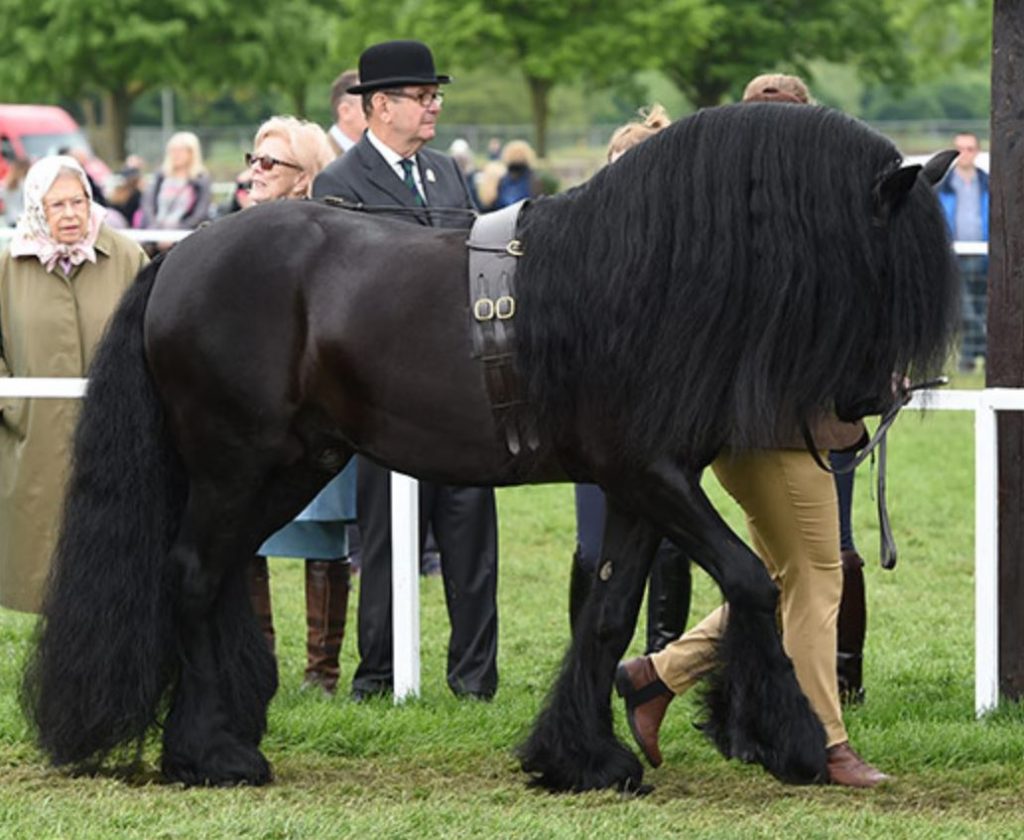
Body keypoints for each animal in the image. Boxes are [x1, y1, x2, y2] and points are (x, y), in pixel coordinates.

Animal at [22, 103, 959, 792]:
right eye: (891, 263)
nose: (867, 404)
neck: (652, 278)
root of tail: (177, 260)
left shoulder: (640, 486)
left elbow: (610, 611)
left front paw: (582, 758)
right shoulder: (648, 475)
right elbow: (752, 581)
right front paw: (790, 741)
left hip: (291, 467)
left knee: (215, 578)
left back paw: (221, 735)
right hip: (234, 463)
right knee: (190, 574)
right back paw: (210, 754)